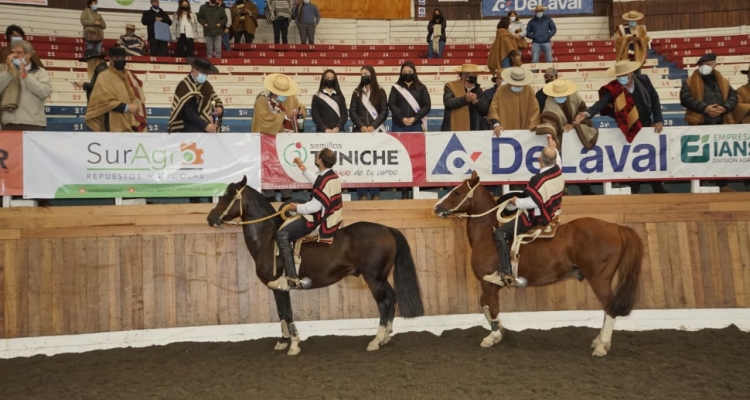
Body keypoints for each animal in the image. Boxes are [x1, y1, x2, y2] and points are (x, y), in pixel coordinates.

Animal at [209, 177, 426, 354]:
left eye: (226, 196)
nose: (210, 218)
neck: (268, 239)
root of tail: (387, 229)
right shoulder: (277, 287)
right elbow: (281, 313)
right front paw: (283, 341)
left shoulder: (281, 286)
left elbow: (287, 312)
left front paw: (294, 345)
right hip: (382, 277)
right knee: (392, 298)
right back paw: (387, 336)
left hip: (373, 278)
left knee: (384, 303)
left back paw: (376, 340)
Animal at [434, 172, 648, 356]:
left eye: (457, 192)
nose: (436, 207)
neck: (488, 236)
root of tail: (616, 227)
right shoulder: (492, 284)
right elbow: (486, 305)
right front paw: (501, 331)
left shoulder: (488, 282)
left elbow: (490, 305)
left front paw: (492, 337)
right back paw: (598, 340)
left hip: (598, 278)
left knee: (610, 307)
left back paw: (602, 346)